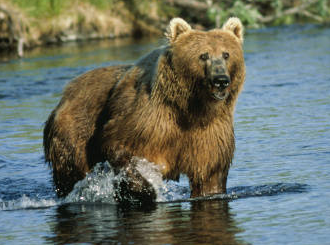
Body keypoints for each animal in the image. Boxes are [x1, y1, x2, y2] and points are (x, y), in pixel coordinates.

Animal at [43, 17, 245, 200]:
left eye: (226, 54)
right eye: (203, 55)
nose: (220, 80)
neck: (191, 108)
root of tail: (65, 95)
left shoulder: (210, 133)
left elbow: (209, 175)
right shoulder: (148, 121)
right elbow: (120, 147)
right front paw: (145, 190)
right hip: (75, 131)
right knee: (72, 172)